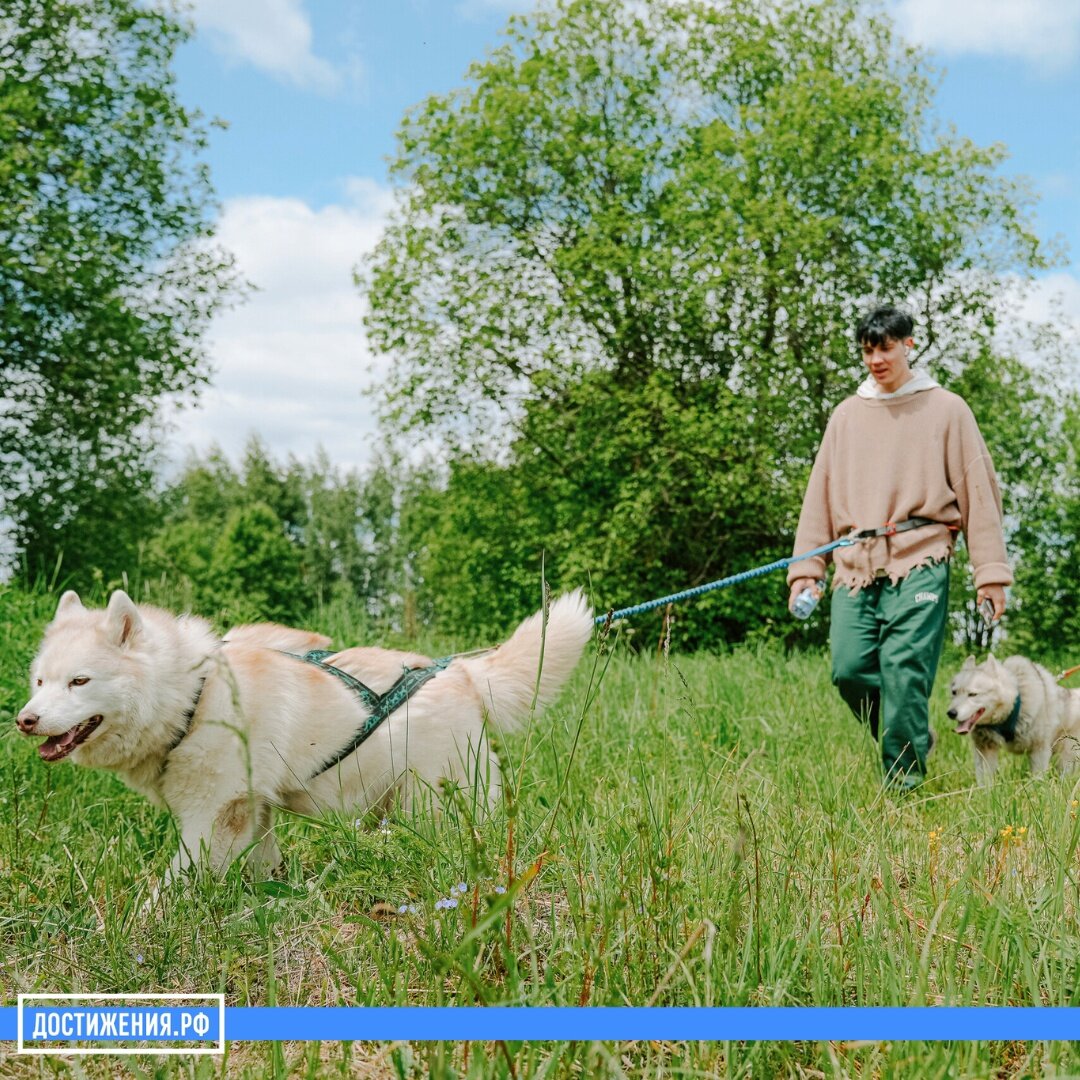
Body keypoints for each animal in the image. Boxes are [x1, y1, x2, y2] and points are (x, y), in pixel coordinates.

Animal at [14, 591, 591, 876]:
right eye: (40, 681)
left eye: (79, 681)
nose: (25, 720)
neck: (195, 695)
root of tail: (463, 671)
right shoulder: (251, 809)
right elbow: (262, 864)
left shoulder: (213, 814)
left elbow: (174, 884)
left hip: (437, 805)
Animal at [946, 652, 1080, 790]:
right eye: (954, 692)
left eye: (972, 694)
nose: (951, 713)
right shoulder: (984, 750)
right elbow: (985, 780)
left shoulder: (1039, 750)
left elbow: (1036, 779)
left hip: (1066, 757)